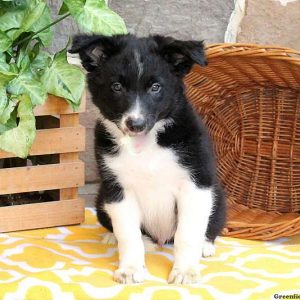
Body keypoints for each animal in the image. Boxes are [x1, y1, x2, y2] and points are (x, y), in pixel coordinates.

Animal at [69, 34, 225, 284]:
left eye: (155, 87)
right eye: (116, 87)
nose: (136, 124)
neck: (145, 144)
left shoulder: (195, 184)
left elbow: (187, 234)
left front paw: (185, 271)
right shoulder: (118, 190)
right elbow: (128, 234)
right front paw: (130, 269)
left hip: (217, 197)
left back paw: (205, 246)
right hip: (102, 198)